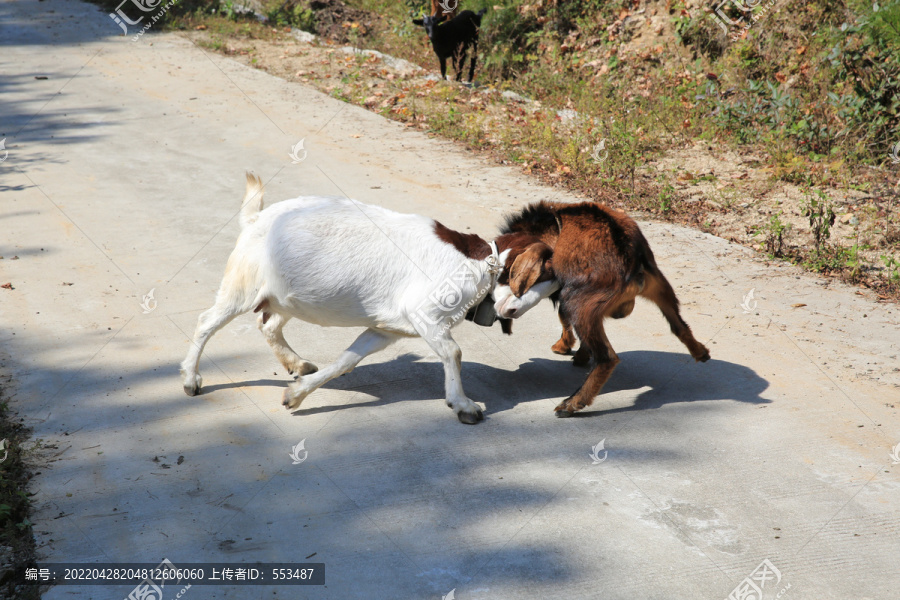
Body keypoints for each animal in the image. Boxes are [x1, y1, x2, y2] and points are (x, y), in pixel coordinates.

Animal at [179, 175, 552, 422]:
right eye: (542, 276)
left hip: (282, 295)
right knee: (207, 322)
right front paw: (463, 405)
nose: (513, 311)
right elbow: (454, 352)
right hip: (242, 285)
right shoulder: (425, 314)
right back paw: (190, 380)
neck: (479, 262)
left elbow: (347, 360)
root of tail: (256, 218)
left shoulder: (385, 330)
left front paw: (296, 395)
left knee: (267, 323)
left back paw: (297, 364)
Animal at [500, 202, 712, 418]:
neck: (553, 227)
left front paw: (564, 347)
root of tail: (630, 260)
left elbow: (562, 316)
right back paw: (701, 353)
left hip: (579, 302)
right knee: (679, 325)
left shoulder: (568, 290)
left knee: (607, 357)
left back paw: (572, 403)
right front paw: (579, 353)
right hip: (658, 286)